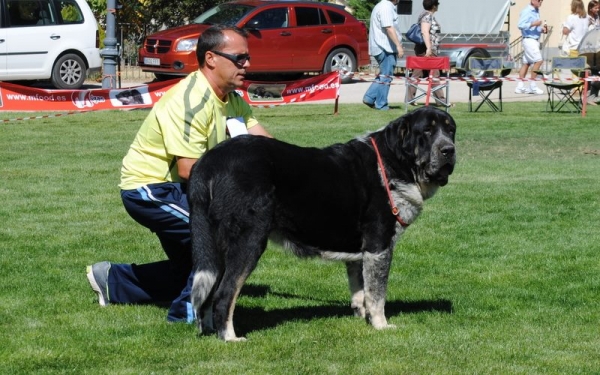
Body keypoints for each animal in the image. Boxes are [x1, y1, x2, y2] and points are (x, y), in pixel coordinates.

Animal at [190, 106, 458, 344]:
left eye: (451, 130)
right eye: (427, 131)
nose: (449, 150)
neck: (394, 163)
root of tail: (208, 163)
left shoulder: (360, 254)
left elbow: (360, 290)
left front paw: (362, 319)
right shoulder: (378, 246)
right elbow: (377, 294)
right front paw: (381, 325)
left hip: (216, 250)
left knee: (207, 294)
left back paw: (209, 331)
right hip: (249, 242)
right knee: (224, 295)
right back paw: (229, 338)